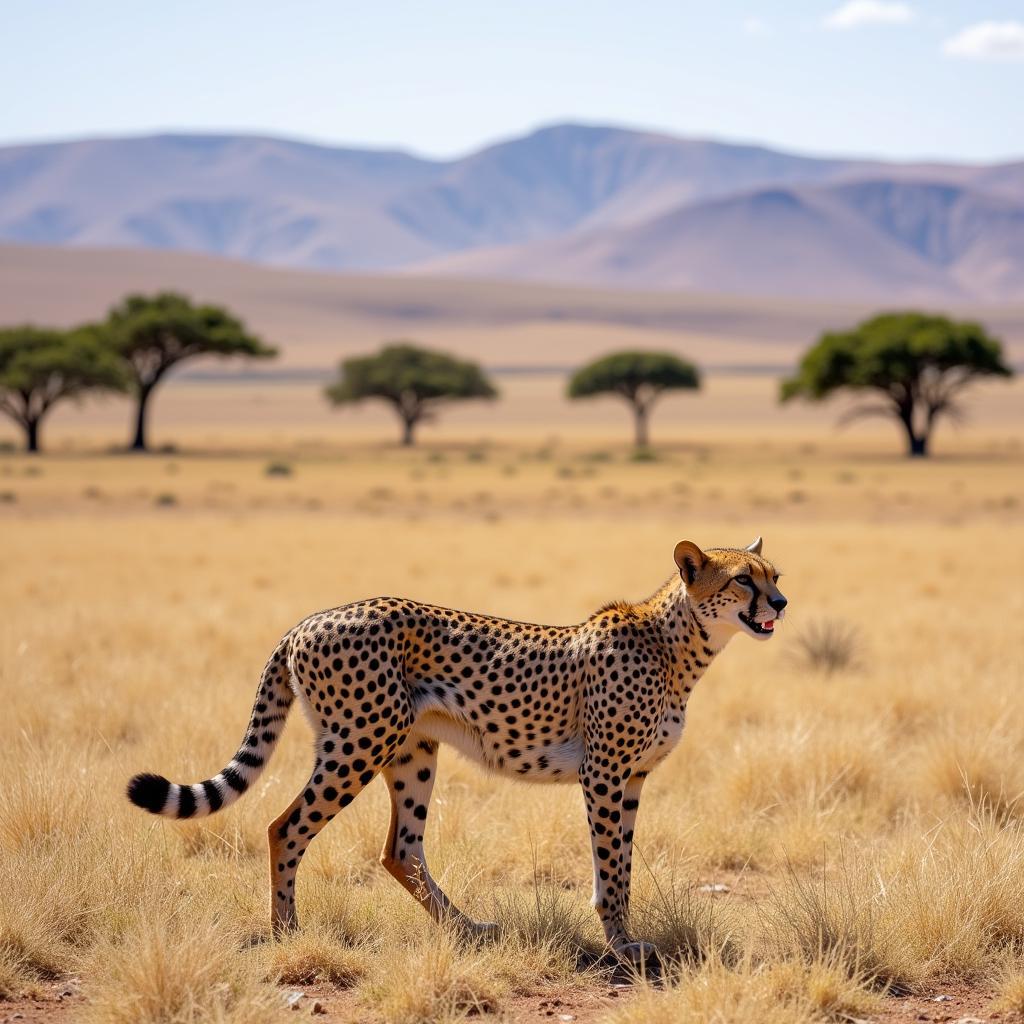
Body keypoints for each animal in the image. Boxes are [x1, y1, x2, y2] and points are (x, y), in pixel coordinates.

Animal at [125, 536, 782, 958]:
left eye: (775, 575)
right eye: (742, 579)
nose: (780, 604)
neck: (679, 646)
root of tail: (307, 620)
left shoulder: (634, 777)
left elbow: (619, 859)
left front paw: (620, 935)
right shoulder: (605, 773)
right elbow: (611, 864)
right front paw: (620, 945)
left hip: (411, 749)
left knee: (401, 849)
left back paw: (466, 930)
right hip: (360, 740)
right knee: (286, 828)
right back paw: (288, 933)